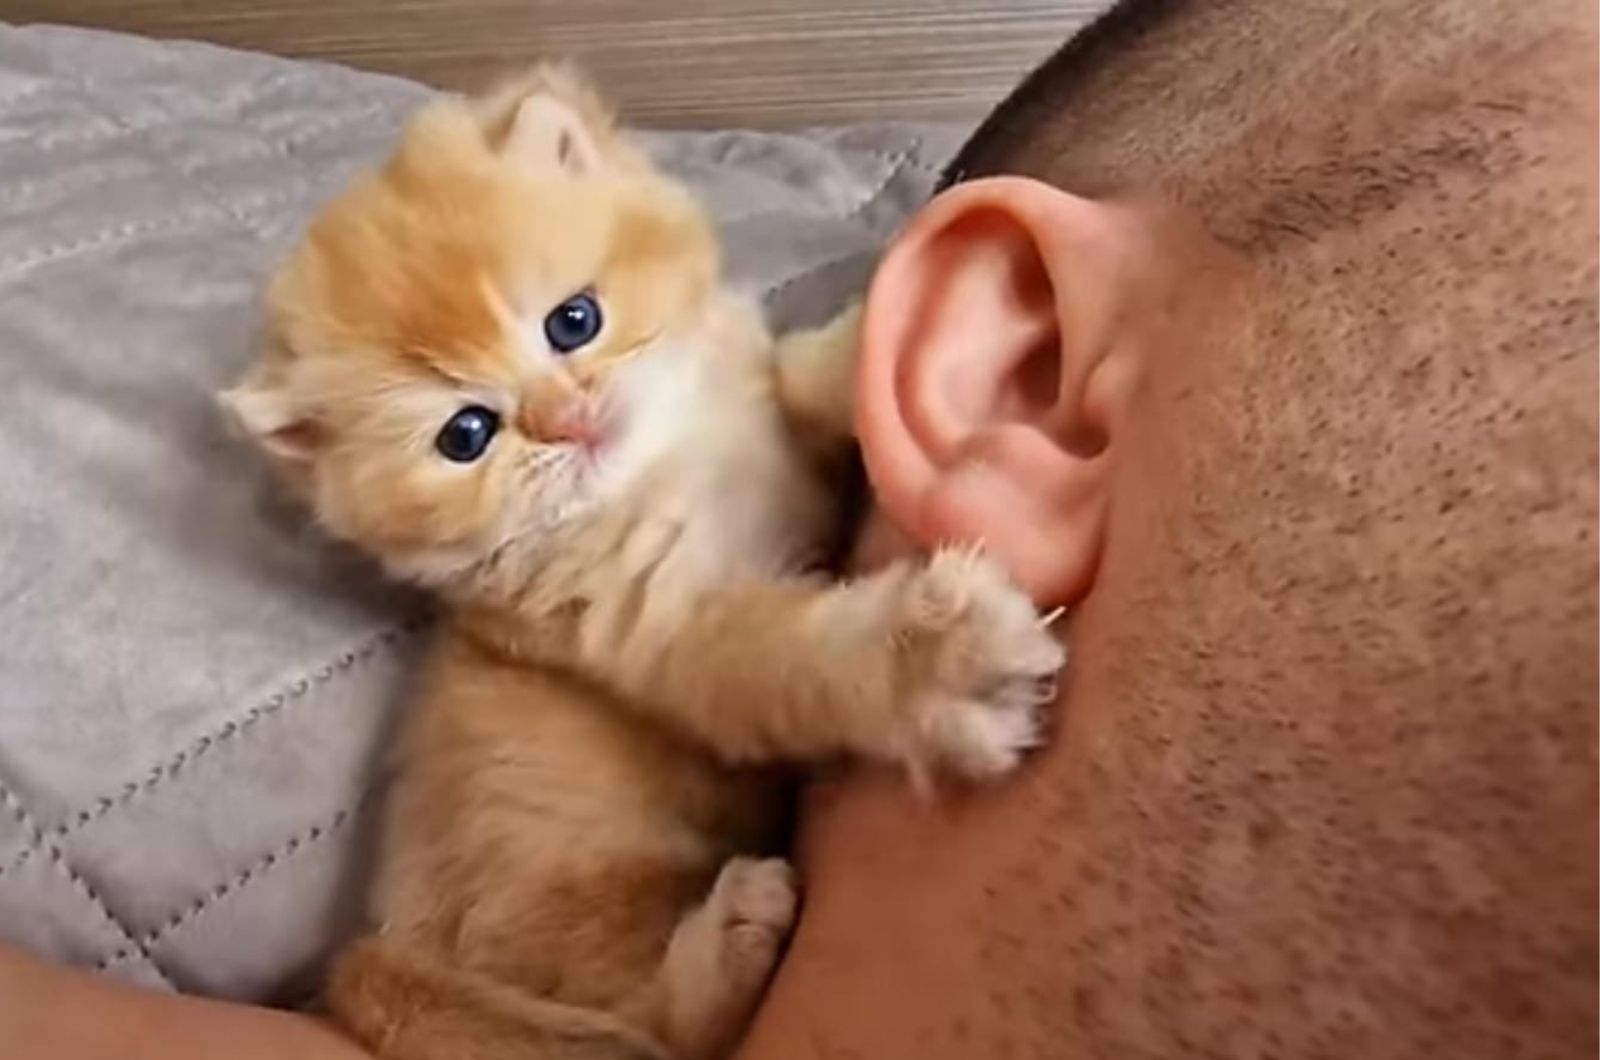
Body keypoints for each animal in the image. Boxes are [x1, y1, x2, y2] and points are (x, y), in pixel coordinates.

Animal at [216, 66, 1062, 1060]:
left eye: (574, 321)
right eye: (467, 435)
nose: (568, 419)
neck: (668, 463)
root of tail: (382, 956)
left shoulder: (777, 429)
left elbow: (799, 377)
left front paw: (879, 331)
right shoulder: (664, 632)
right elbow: (798, 659)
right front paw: (941, 663)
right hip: (582, 895)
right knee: (661, 1030)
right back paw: (732, 940)